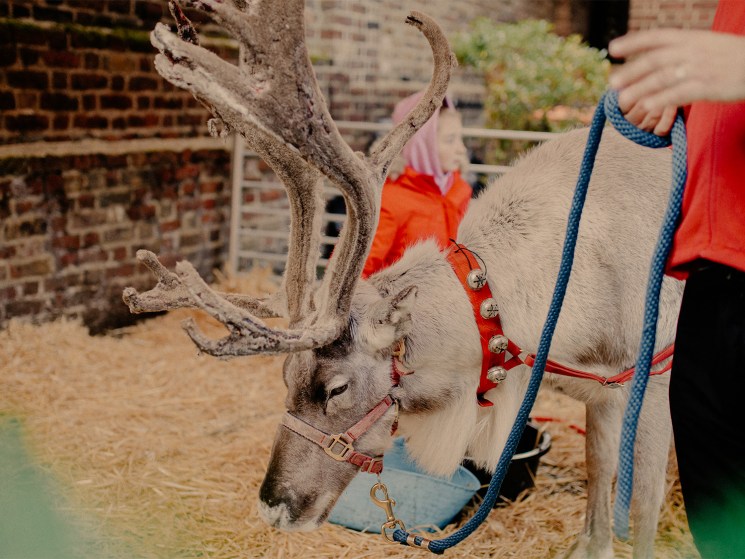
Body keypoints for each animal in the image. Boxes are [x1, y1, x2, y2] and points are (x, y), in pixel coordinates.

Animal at [123, 2, 683, 558]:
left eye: (336, 388)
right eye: (285, 377)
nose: (273, 507)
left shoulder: (655, 386)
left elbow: (642, 509)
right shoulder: (601, 394)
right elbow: (597, 493)